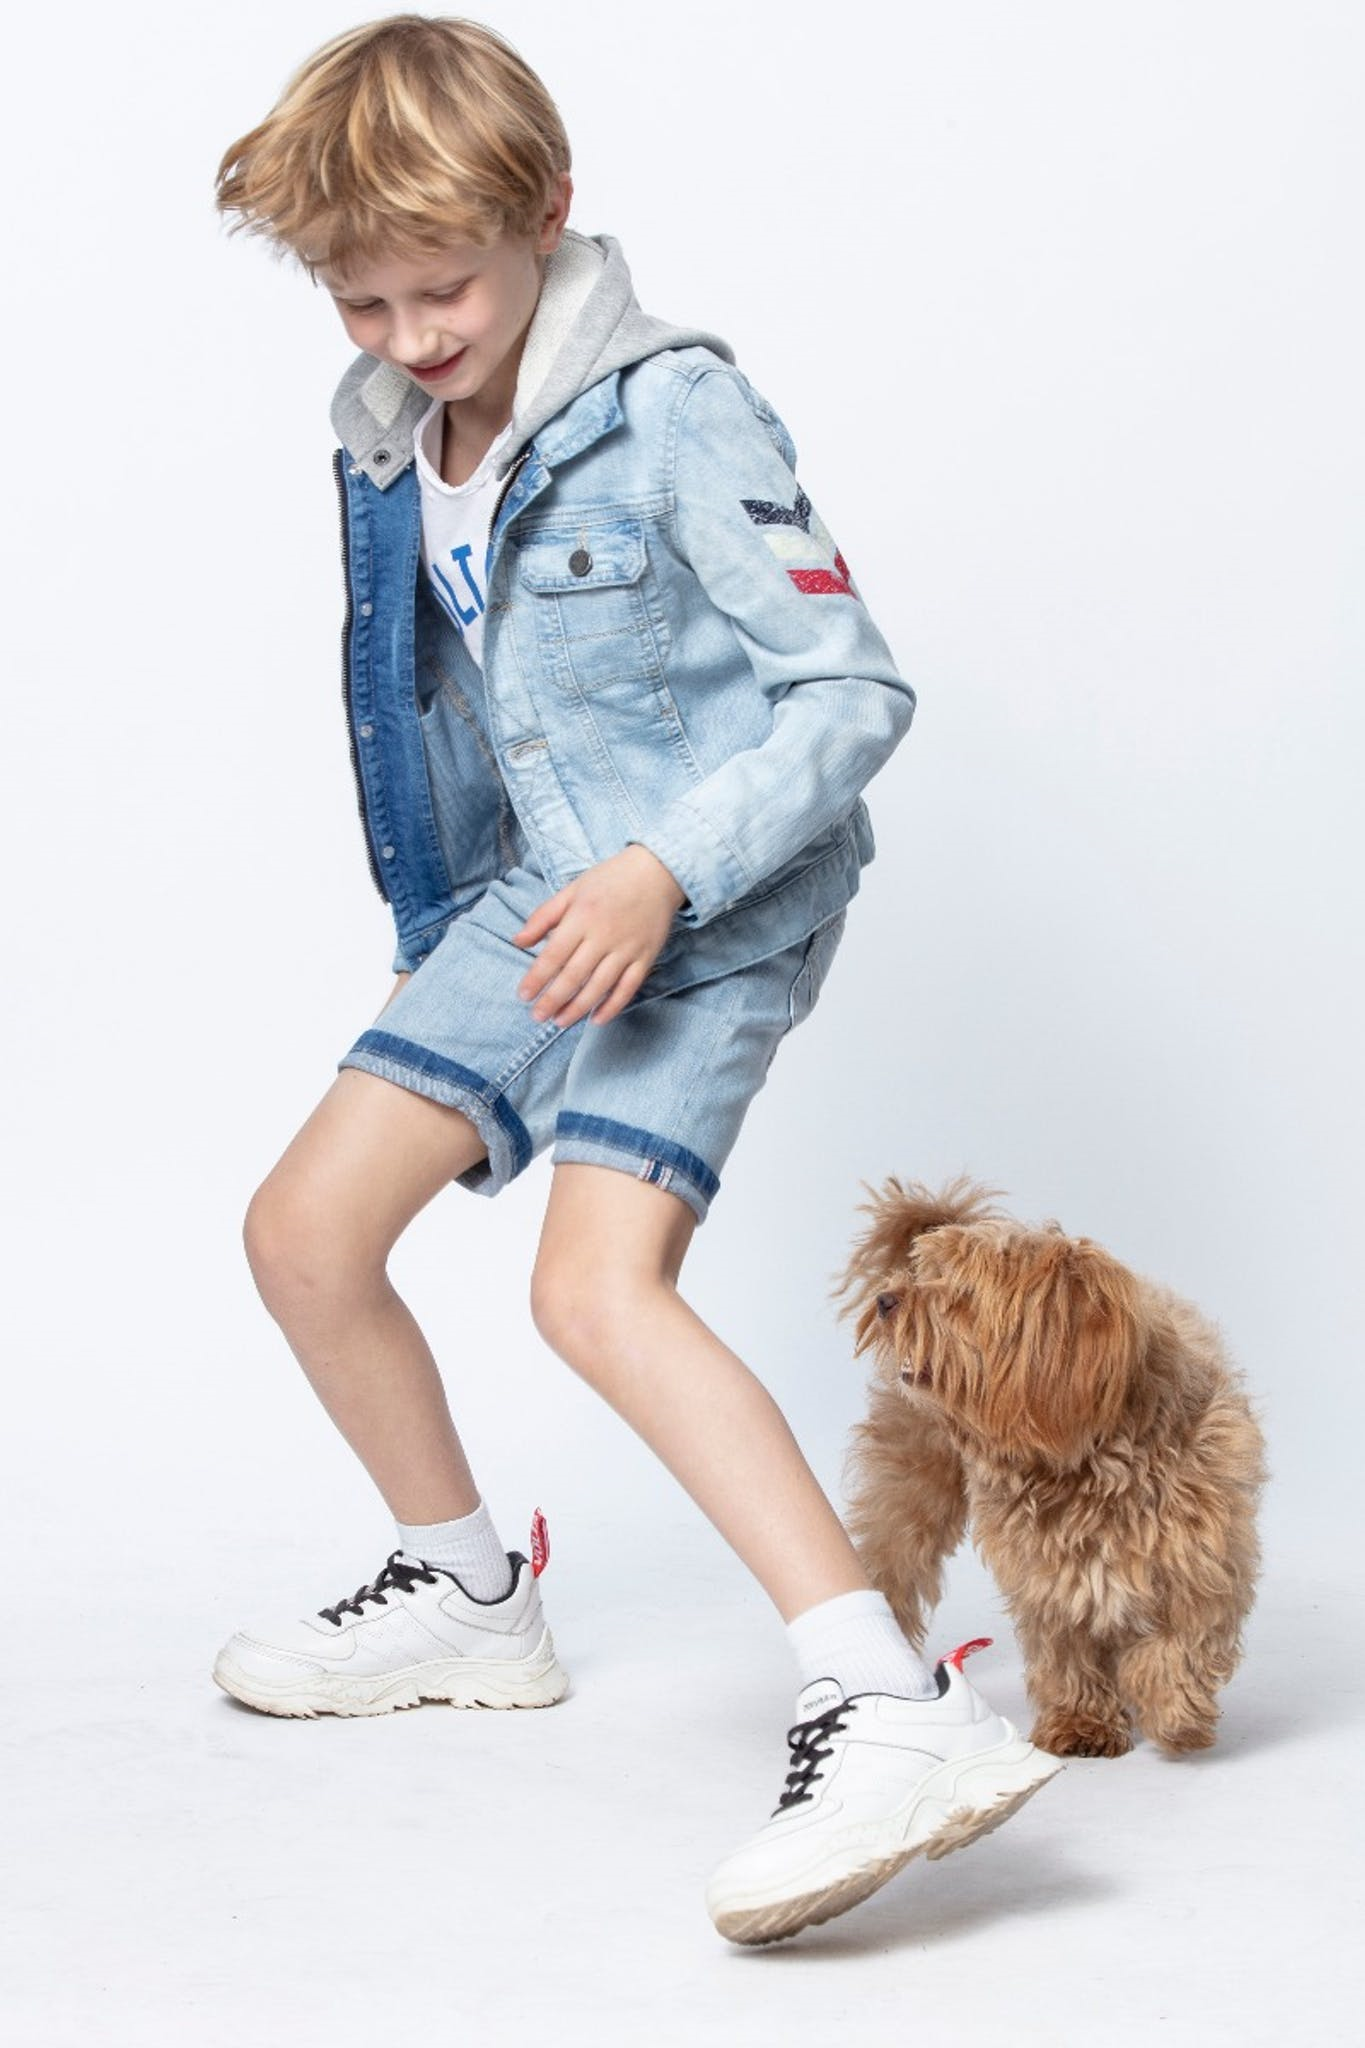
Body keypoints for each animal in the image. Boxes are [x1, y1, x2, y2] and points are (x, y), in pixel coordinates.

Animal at [835, 1175, 1267, 1758]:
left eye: (961, 1295)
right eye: (926, 1273)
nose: (886, 1299)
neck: (1091, 1460)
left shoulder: (1205, 1558)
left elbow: (1179, 1645)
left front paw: (1175, 1713)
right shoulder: (1048, 1577)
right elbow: (1066, 1651)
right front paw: (1081, 1720)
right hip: (908, 1492)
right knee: (891, 1570)